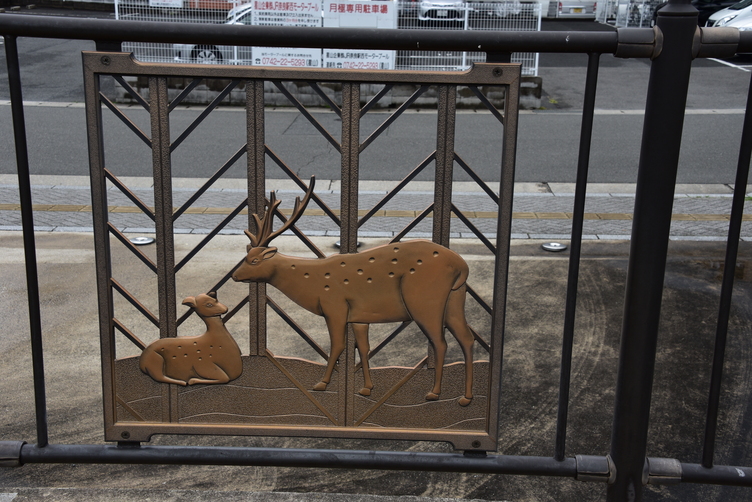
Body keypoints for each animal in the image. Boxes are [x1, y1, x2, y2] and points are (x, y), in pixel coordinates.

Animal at [232, 178, 472, 406]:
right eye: (246, 255)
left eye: (253, 260)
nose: (234, 275)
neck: (312, 285)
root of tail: (462, 266)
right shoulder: (359, 317)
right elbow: (363, 349)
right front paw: (366, 388)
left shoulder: (335, 306)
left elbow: (338, 345)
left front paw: (322, 383)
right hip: (455, 299)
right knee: (466, 338)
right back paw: (465, 397)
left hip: (424, 301)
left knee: (440, 342)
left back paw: (434, 393)